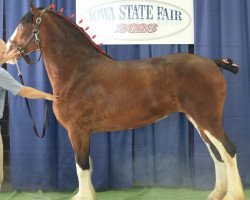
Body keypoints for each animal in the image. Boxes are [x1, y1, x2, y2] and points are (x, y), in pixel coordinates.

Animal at [5, 4, 244, 200]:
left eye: (23, 25)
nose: (7, 51)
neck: (77, 71)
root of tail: (211, 62)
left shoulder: (77, 130)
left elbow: (81, 166)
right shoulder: (83, 132)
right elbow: (88, 166)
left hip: (207, 118)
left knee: (228, 151)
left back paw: (234, 195)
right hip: (198, 120)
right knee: (217, 154)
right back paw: (216, 194)